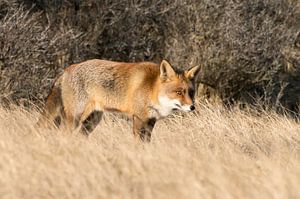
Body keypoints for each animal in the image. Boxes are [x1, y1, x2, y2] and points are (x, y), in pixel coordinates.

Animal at [38, 59, 200, 141]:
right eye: (178, 92)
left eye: (191, 92)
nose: (192, 107)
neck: (152, 89)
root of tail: (66, 70)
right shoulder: (139, 119)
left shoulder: (150, 121)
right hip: (75, 118)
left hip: (92, 121)